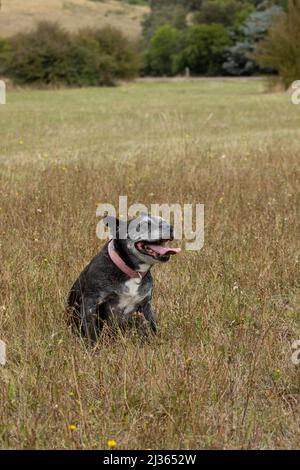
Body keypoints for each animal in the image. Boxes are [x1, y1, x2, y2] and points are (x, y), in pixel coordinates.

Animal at [68, 215, 180, 344]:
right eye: (144, 225)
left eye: (164, 221)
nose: (171, 228)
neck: (131, 272)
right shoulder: (90, 303)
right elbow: (91, 332)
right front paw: (93, 347)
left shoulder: (146, 306)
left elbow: (151, 327)